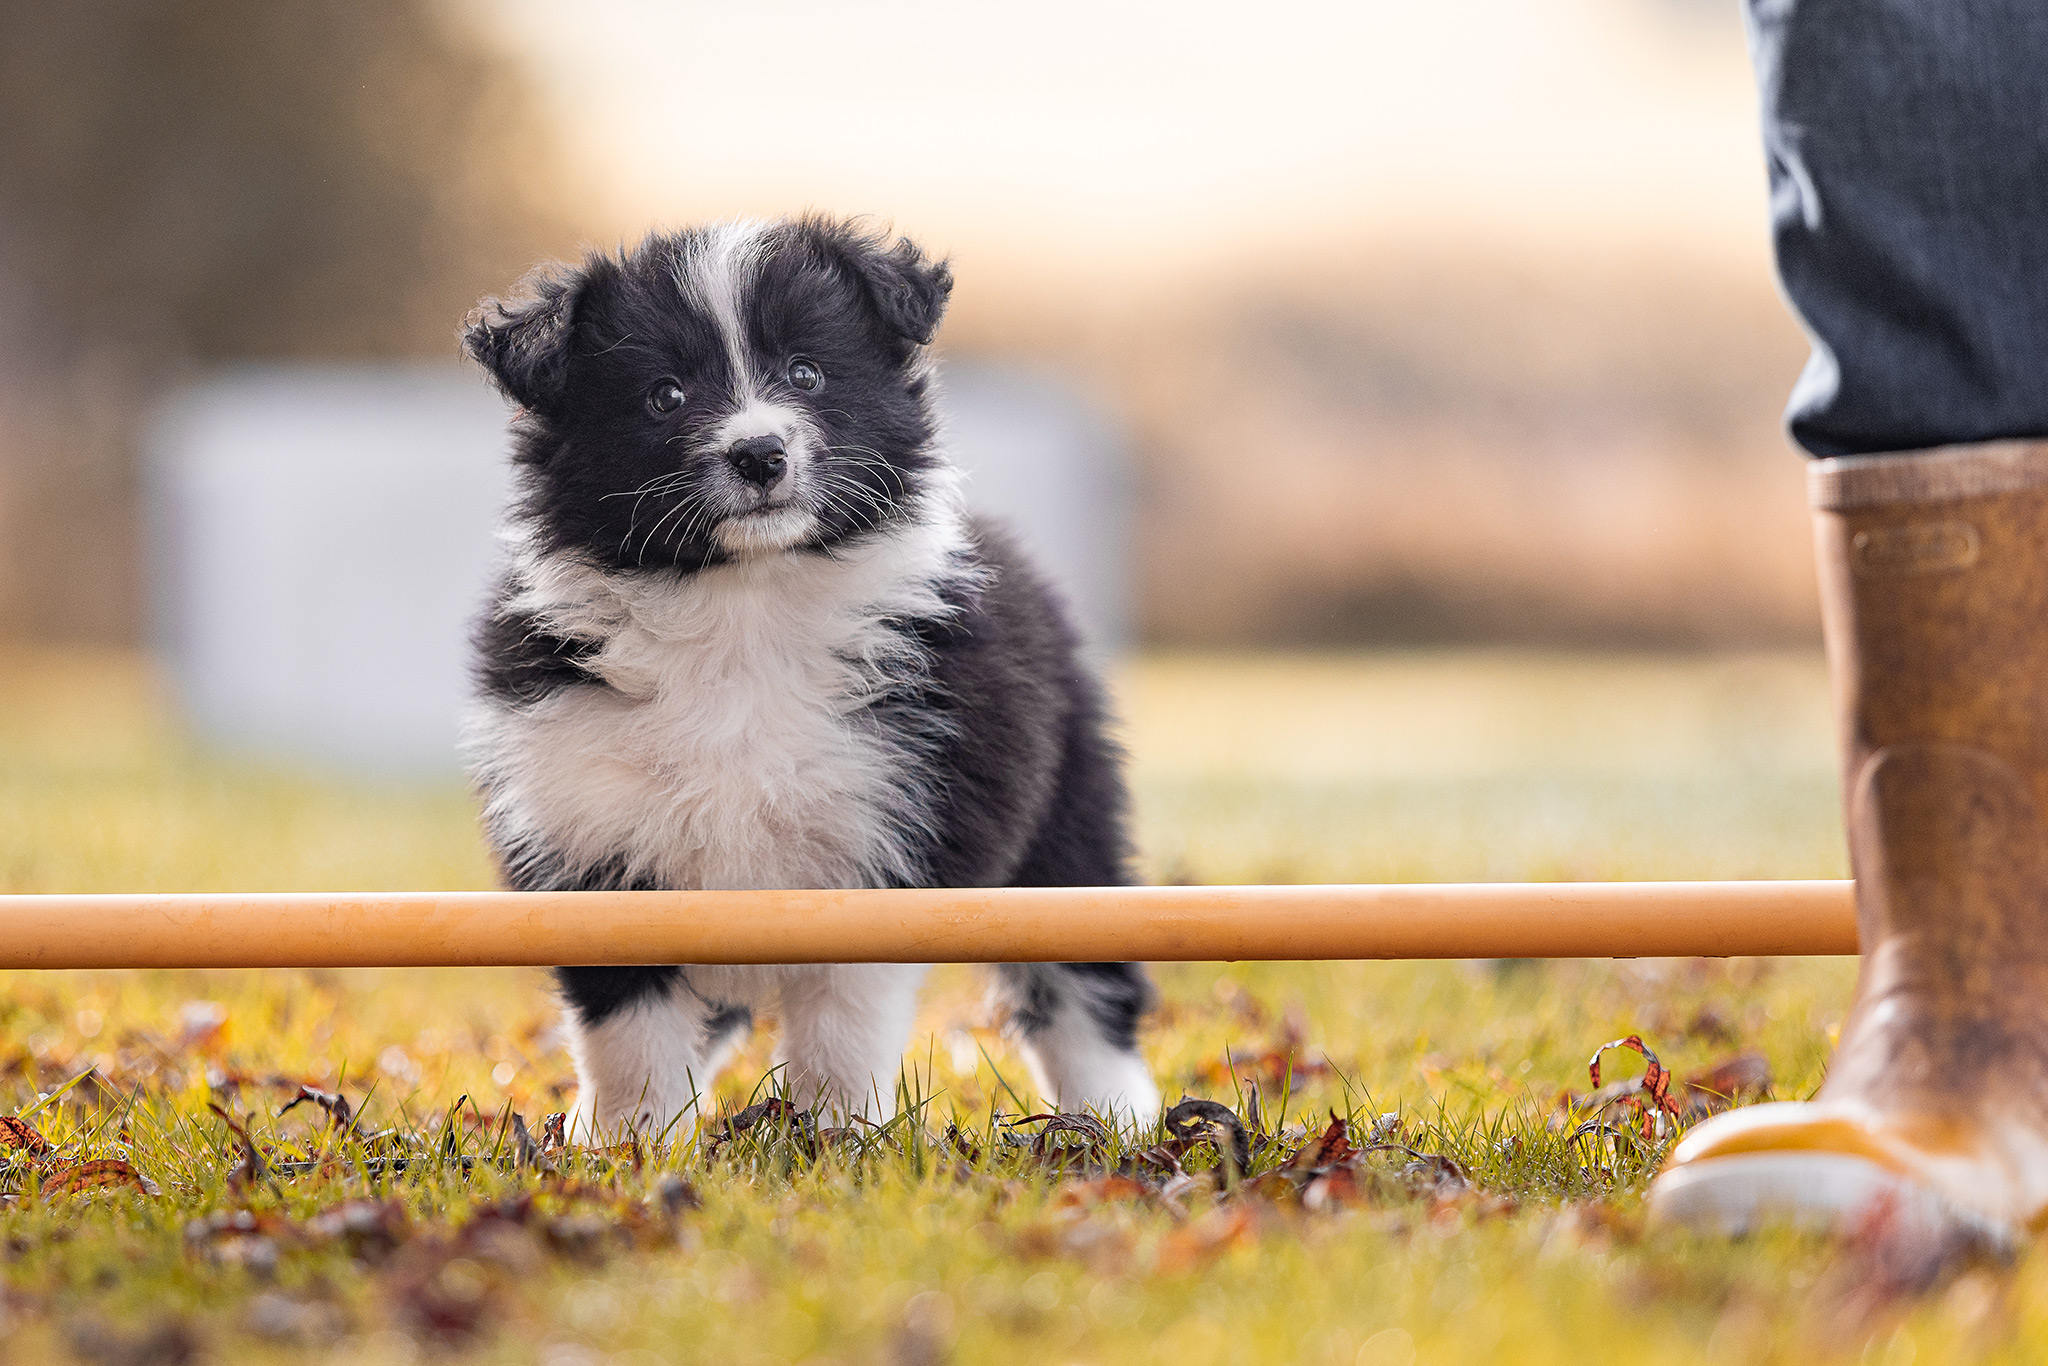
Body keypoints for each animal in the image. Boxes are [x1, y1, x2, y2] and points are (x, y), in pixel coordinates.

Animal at [468, 214, 1171, 1130]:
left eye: (807, 372)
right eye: (664, 395)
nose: (760, 453)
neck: (745, 602)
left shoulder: (885, 836)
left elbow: (843, 1021)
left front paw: (835, 1136)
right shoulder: (591, 841)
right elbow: (630, 1035)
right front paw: (632, 1138)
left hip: (1066, 834)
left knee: (1084, 989)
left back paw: (1116, 1120)